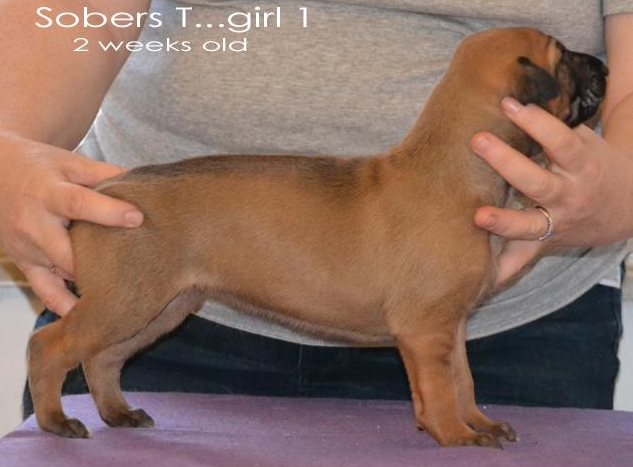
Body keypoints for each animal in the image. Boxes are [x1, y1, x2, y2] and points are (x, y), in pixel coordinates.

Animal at [27, 28, 607, 448]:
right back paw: (56, 421)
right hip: (124, 302)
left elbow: (462, 382)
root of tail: (107, 187)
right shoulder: (426, 330)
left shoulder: (450, 326)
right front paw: (455, 436)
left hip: (160, 306)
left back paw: (118, 413)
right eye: (563, 57)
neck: (453, 170)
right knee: (49, 347)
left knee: (102, 359)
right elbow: (442, 389)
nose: (603, 66)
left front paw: (477, 424)